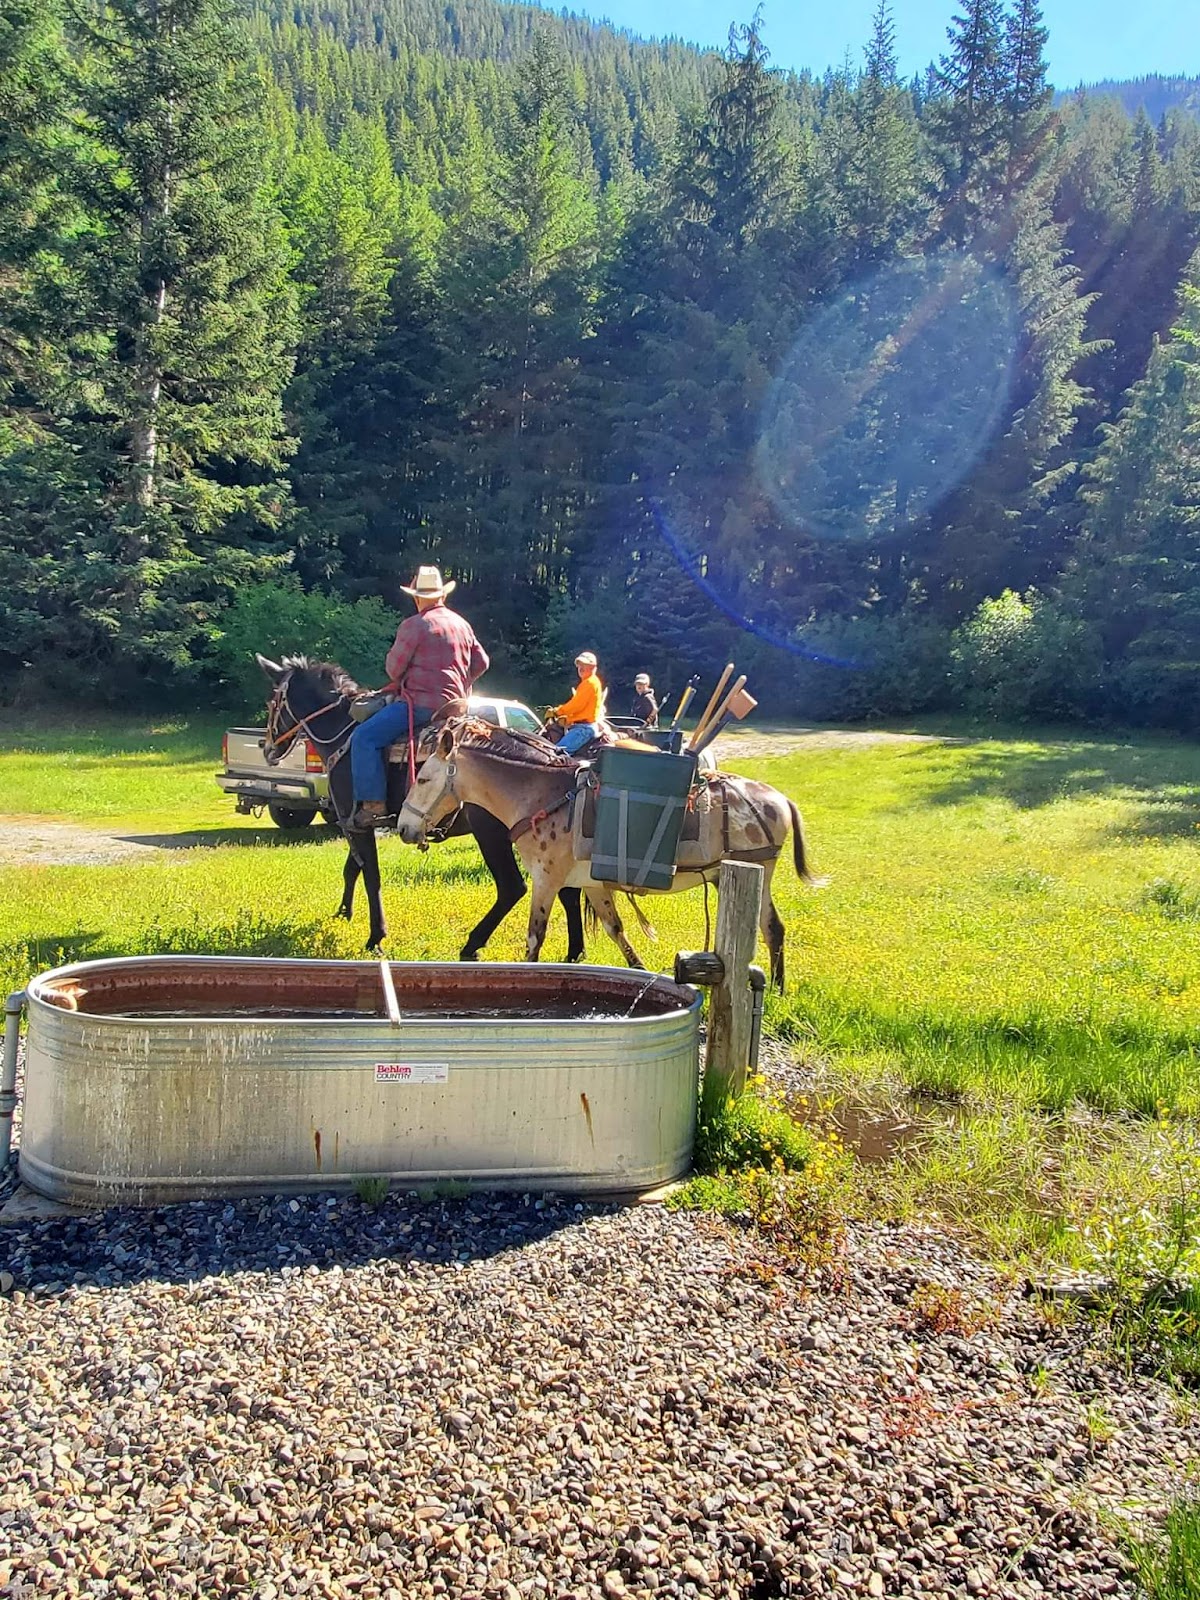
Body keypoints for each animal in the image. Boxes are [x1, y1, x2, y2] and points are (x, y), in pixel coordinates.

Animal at [255, 656, 584, 960]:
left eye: (272, 701)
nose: (268, 749)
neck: (343, 733)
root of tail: (555, 757)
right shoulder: (355, 822)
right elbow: (352, 868)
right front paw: (342, 914)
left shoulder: (357, 822)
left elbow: (370, 875)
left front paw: (375, 937)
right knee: (567, 890)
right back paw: (575, 952)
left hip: (490, 834)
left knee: (513, 887)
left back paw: (472, 945)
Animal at [396, 716, 823, 986]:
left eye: (424, 777)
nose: (402, 827)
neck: (543, 796)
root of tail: (779, 799)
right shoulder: (592, 885)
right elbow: (616, 930)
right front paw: (641, 968)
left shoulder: (546, 881)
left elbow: (535, 937)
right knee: (773, 928)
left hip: (754, 874)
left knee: (772, 929)